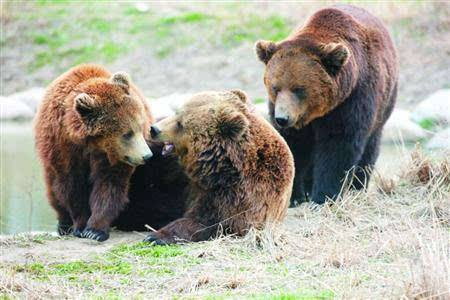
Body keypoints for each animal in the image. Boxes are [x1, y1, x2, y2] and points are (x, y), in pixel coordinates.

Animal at [35, 63, 155, 241]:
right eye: (127, 134)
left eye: (141, 127)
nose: (147, 155)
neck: (92, 143)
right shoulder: (63, 147)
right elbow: (72, 186)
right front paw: (80, 226)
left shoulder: (112, 156)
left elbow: (108, 184)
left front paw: (95, 230)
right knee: (54, 192)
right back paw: (63, 225)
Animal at [142, 89, 294, 244]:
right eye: (177, 112)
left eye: (180, 124)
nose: (154, 129)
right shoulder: (177, 172)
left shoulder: (240, 196)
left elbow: (207, 221)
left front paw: (155, 236)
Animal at [255, 4, 400, 205]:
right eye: (275, 87)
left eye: (299, 89)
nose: (282, 118)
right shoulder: (290, 116)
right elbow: (294, 145)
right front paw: (293, 196)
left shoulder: (352, 99)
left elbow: (338, 144)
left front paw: (323, 197)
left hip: (384, 105)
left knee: (370, 147)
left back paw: (357, 187)